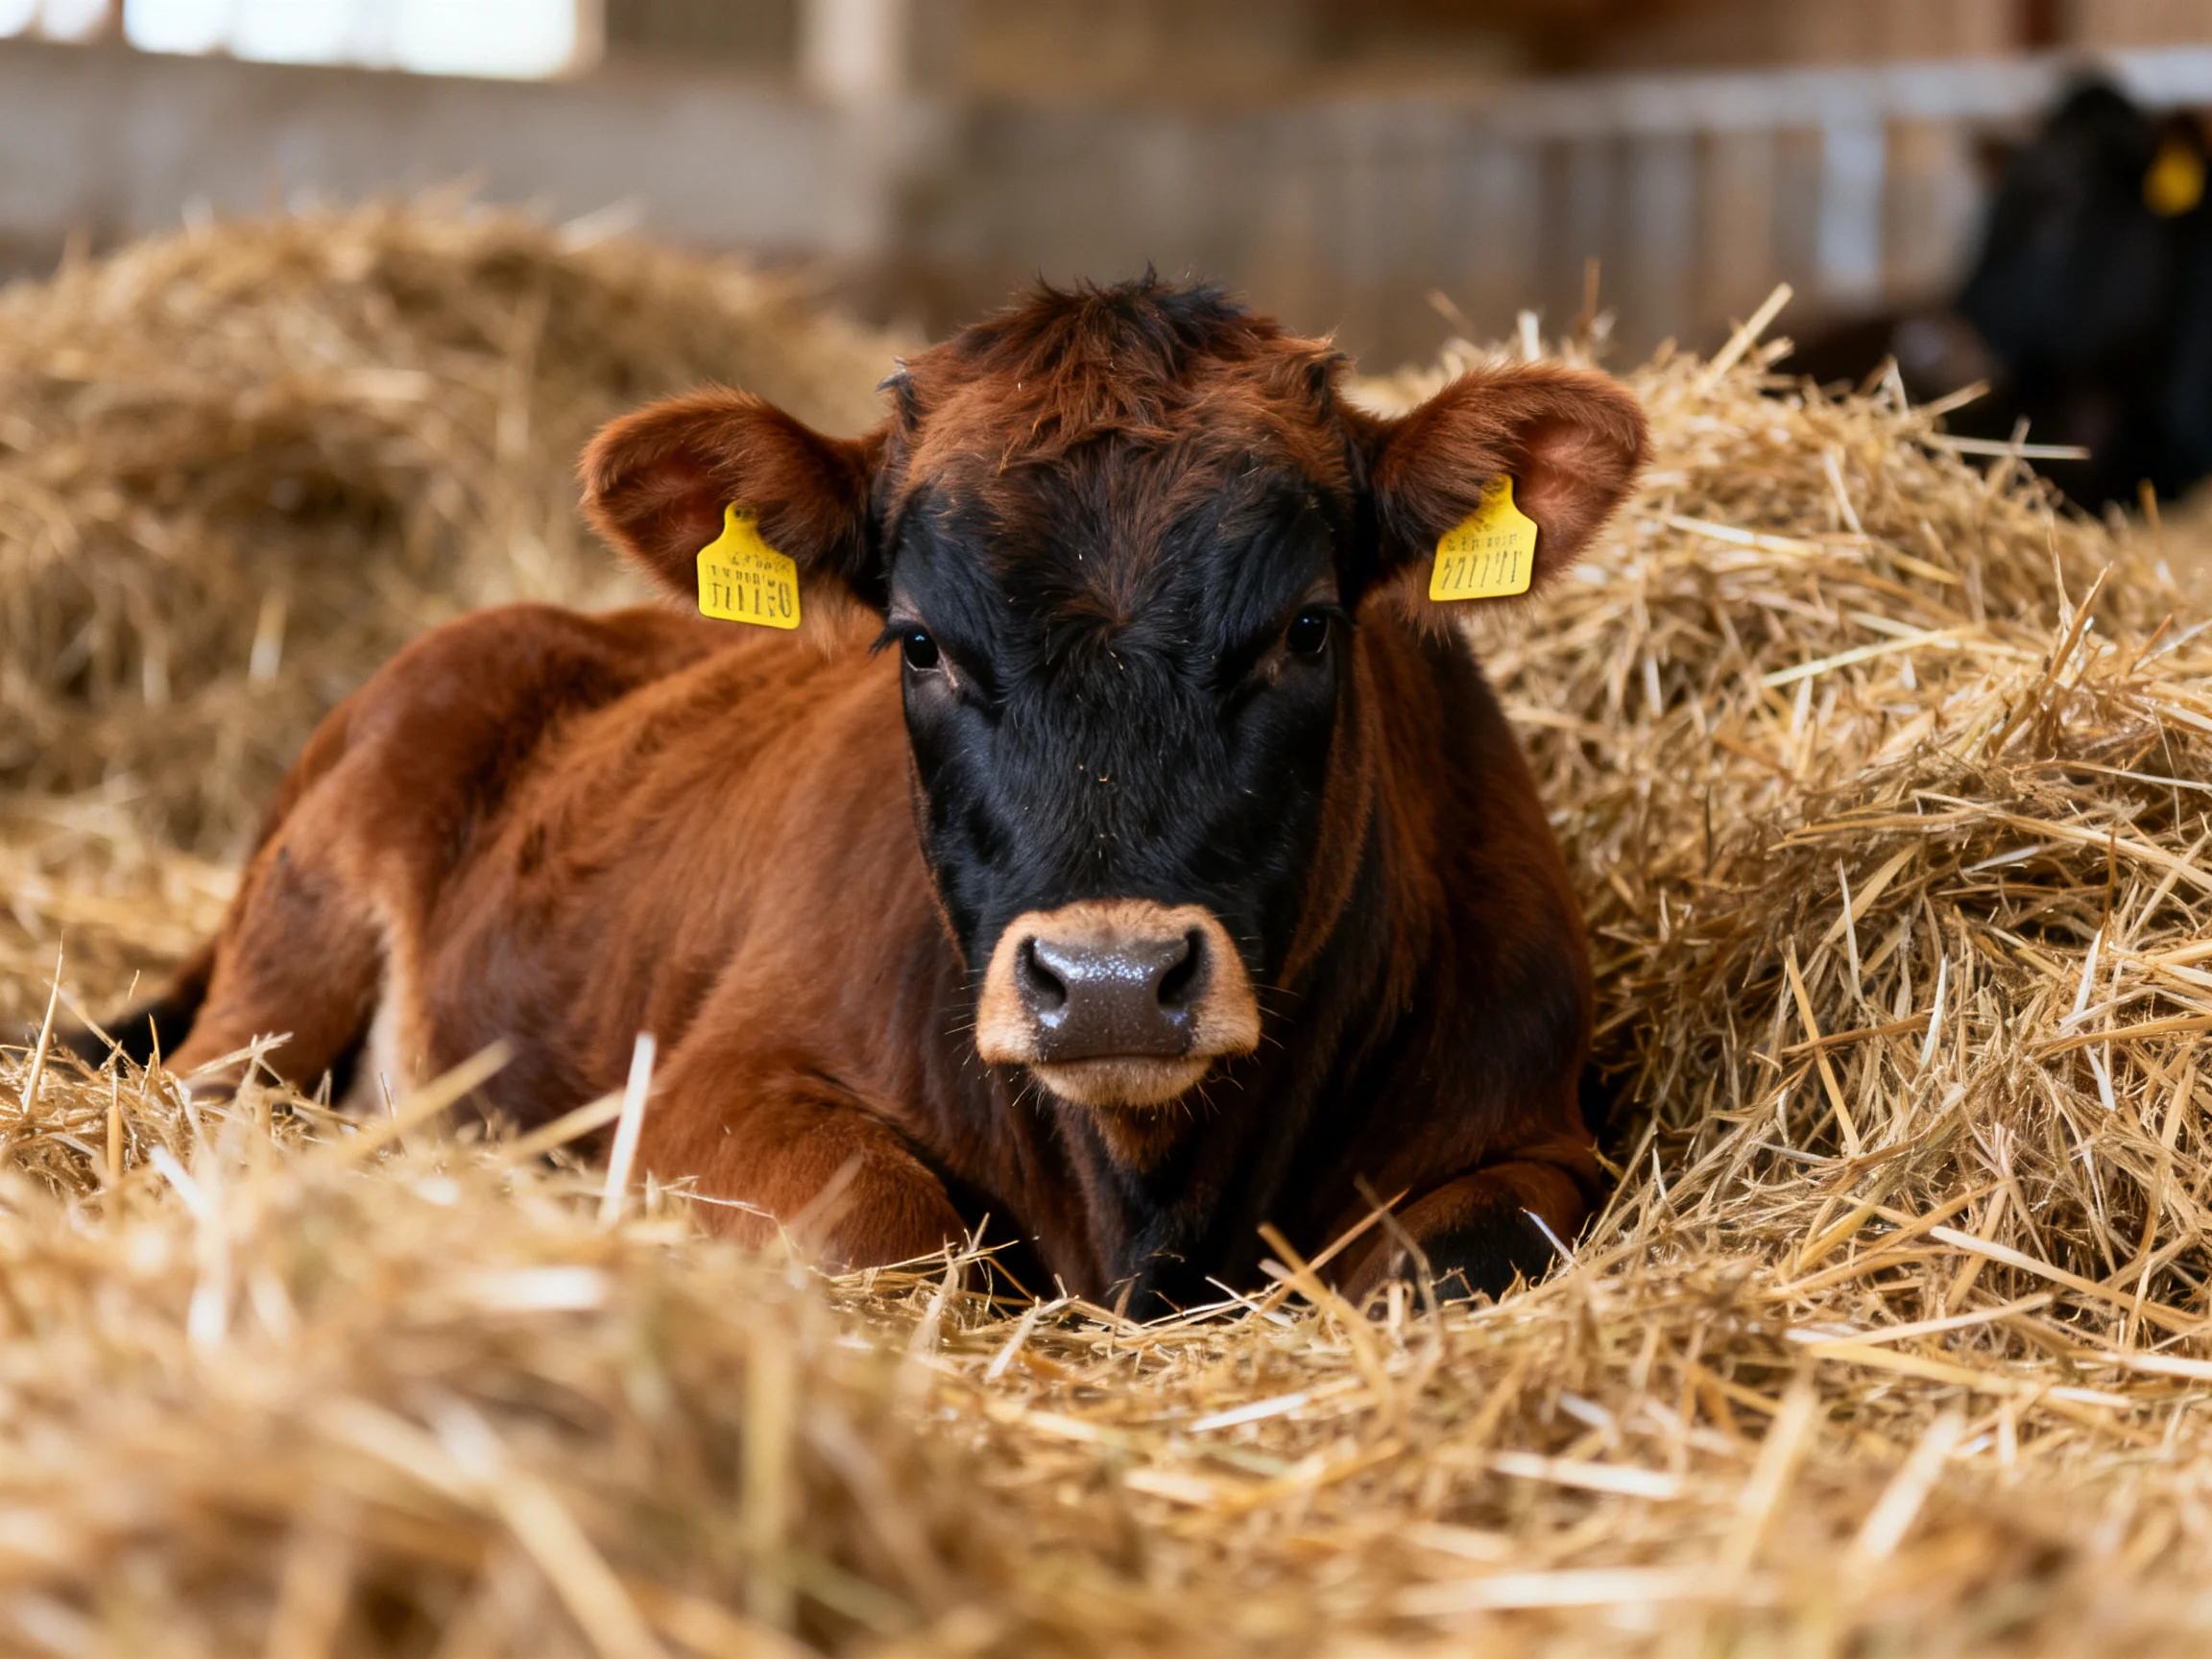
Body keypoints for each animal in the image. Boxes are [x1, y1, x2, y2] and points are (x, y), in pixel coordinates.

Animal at [70, 279, 1646, 1311]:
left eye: (1310, 628)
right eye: (921, 641)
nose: (1113, 984)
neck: (1144, 1188)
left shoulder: (1536, 1137)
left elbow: (1448, 1270)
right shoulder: (712, 1087)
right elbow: (884, 1232)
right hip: (290, 957)